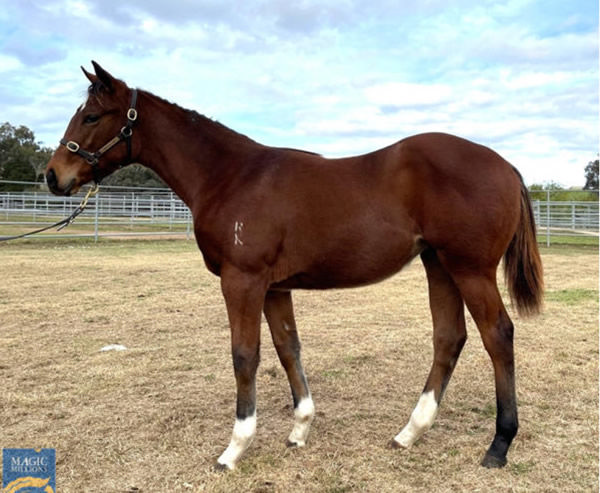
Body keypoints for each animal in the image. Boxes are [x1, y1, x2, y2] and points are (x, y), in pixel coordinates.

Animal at [47, 61, 544, 468]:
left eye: (91, 116)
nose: (54, 176)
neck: (231, 176)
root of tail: (506, 166)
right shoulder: (275, 287)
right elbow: (289, 348)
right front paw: (300, 428)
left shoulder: (242, 282)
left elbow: (245, 355)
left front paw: (235, 448)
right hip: (439, 265)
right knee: (449, 337)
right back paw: (409, 433)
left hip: (469, 269)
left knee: (497, 335)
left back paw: (499, 444)